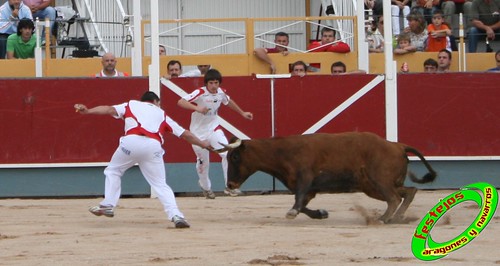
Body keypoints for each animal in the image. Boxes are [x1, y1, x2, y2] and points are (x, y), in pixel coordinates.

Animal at [217, 132, 436, 223]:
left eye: (234, 157)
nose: (230, 184)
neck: (282, 151)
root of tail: (397, 145)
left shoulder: (305, 178)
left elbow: (298, 200)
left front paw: (292, 213)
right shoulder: (309, 189)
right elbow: (303, 205)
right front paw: (320, 213)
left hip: (379, 181)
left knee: (394, 198)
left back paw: (383, 218)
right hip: (373, 186)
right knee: (409, 192)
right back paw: (397, 217)